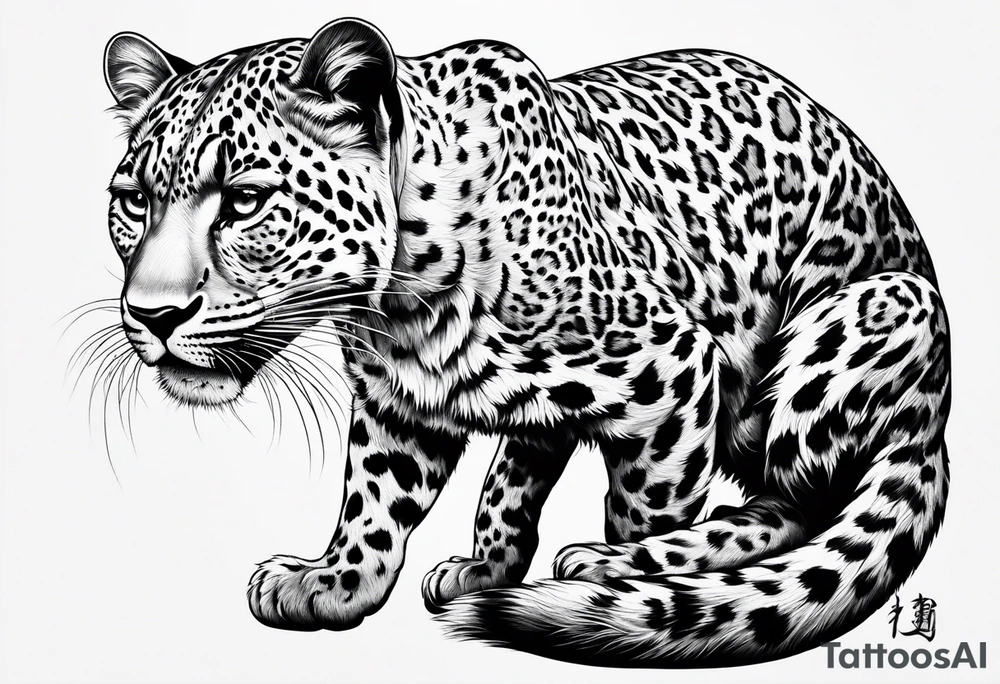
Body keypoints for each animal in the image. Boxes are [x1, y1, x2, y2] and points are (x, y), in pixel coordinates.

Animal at [101, 17, 950, 667]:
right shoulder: (400, 398)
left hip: (865, 324)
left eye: (245, 201)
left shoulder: (674, 369)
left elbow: (645, 503)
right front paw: (340, 581)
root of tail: (936, 419)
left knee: (805, 498)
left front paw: (628, 593)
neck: (404, 296)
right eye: (133, 201)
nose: (151, 315)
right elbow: (380, 494)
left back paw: (620, 565)